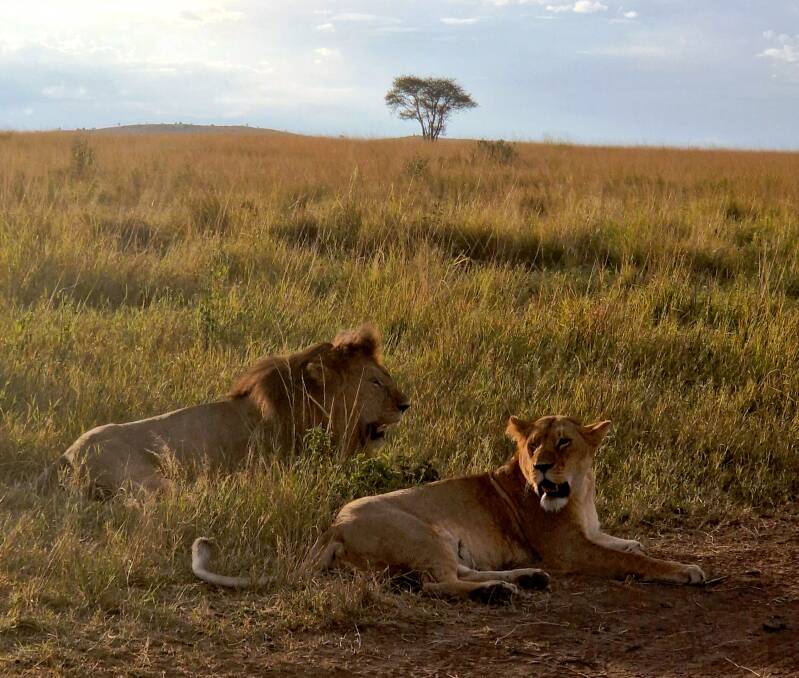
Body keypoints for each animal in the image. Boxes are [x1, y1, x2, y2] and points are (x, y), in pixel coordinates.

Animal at [191, 415, 706, 602]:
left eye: (564, 442)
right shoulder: (569, 553)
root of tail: (330, 529)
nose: (541, 467)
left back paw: (524, 580)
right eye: (533, 445)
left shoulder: (589, 535)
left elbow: (626, 542)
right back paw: (499, 592)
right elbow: (631, 558)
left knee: (459, 573)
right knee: (437, 584)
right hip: (422, 533)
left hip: (443, 542)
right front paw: (684, 570)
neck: (580, 492)